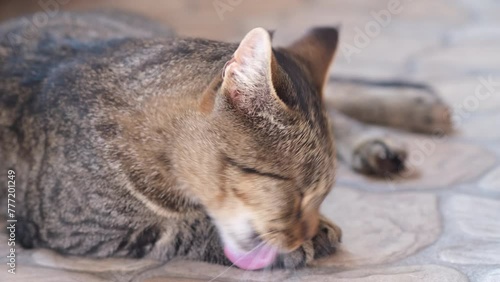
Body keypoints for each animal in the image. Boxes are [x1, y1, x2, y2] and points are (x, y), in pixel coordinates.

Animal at [0, 11, 452, 270]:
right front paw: (297, 244)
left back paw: (408, 116)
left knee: (337, 102)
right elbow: (183, 229)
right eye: (295, 191)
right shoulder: (78, 228)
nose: (304, 230)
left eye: (323, 193)